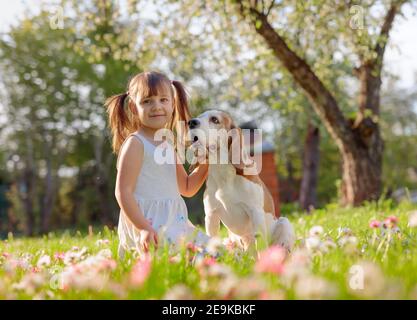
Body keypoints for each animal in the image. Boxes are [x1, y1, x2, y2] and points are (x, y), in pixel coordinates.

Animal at [187, 110, 294, 252]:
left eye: (215, 120)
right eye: (199, 116)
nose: (191, 122)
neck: (223, 174)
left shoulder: (255, 213)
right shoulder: (211, 216)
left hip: (284, 222)